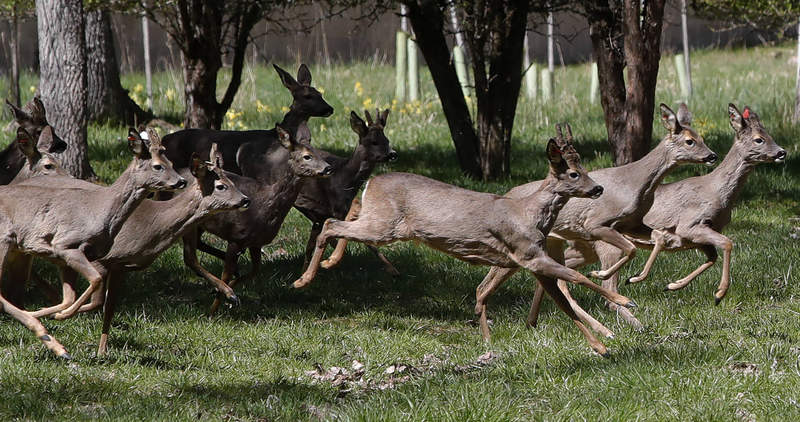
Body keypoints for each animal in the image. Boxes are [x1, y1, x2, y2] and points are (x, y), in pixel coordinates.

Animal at [0, 127, 186, 358]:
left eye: (171, 161)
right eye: (158, 165)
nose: (181, 181)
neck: (100, 211)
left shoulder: (64, 257)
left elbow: (69, 297)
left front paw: (53, 314)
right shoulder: (67, 245)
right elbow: (95, 279)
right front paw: (60, 316)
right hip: (4, 240)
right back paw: (52, 342)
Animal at [181, 123, 332, 312]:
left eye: (318, 152)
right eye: (307, 156)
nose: (328, 168)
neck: (265, 205)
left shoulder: (255, 242)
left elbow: (254, 271)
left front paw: (230, 292)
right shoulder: (236, 237)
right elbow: (226, 275)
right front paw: (216, 307)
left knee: (197, 247)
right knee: (190, 256)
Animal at [294, 125, 636, 356]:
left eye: (585, 169)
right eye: (574, 174)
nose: (598, 189)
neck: (529, 214)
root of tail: (372, 182)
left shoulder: (530, 262)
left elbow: (564, 303)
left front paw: (600, 347)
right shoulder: (527, 253)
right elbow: (579, 277)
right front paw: (623, 301)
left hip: (381, 222)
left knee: (341, 220)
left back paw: (325, 265)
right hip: (386, 225)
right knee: (332, 223)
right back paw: (305, 278)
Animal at [580, 104, 788, 304]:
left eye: (770, 135)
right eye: (759, 139)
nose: (782, 152)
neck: (716, 191)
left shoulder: (697, 237)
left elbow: (712, 257)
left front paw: (672, 285)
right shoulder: (689, 224)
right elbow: (727, 243)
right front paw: (719, 294)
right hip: (607, 244)